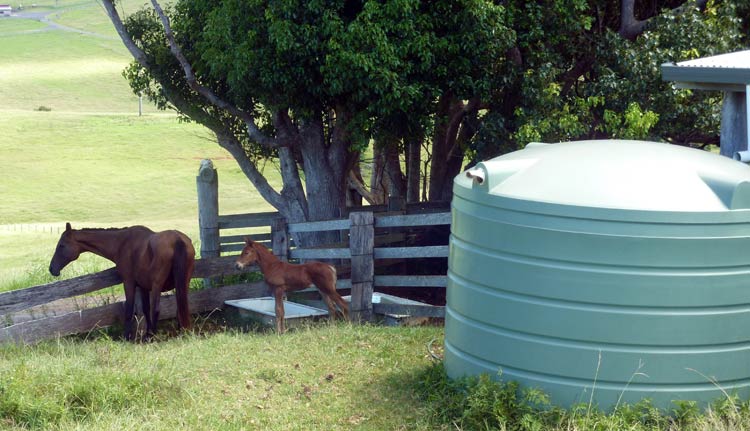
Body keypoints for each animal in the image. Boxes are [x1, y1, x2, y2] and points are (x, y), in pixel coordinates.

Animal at [48, 223, 195, 341]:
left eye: (61, 245)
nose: (52, 269)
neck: (122, 243)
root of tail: (177, 239)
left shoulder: (129, 283)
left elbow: (130, 311)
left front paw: (127, 337)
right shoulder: (143, 287)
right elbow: (146, 310)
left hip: (157, 285)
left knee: (157, 310)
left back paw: (153, 336)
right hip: (184, 282)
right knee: (181, 306)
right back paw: (182, 332)